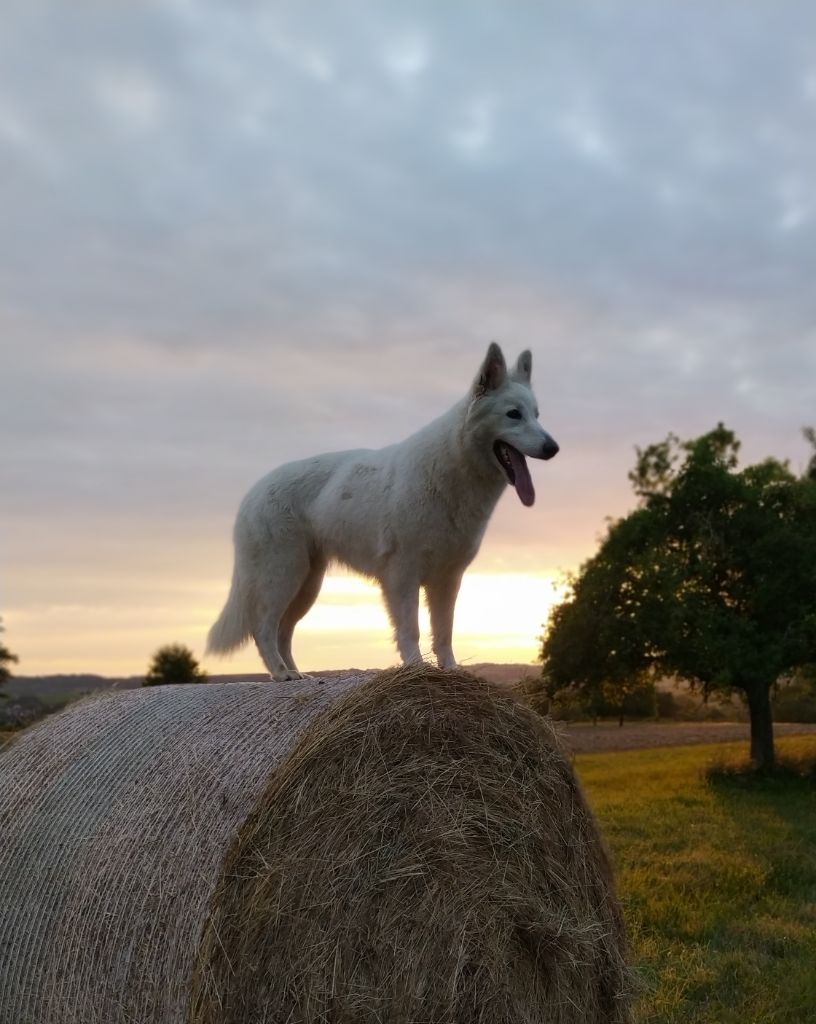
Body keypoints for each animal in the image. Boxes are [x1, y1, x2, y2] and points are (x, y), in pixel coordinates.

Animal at [206, 344, 556, 679]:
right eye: (514, 414)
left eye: (537, 415)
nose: (553, 448)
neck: (452, 473)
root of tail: (253, 492)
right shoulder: (402, 575)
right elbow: (411, 630)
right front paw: (416, 668)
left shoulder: (447, 579)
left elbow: (444, 633)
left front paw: (451, 670)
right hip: (283, 576)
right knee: (264, 628)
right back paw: (281, 673)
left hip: (307, 584)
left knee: (283, 631)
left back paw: (297, 673)